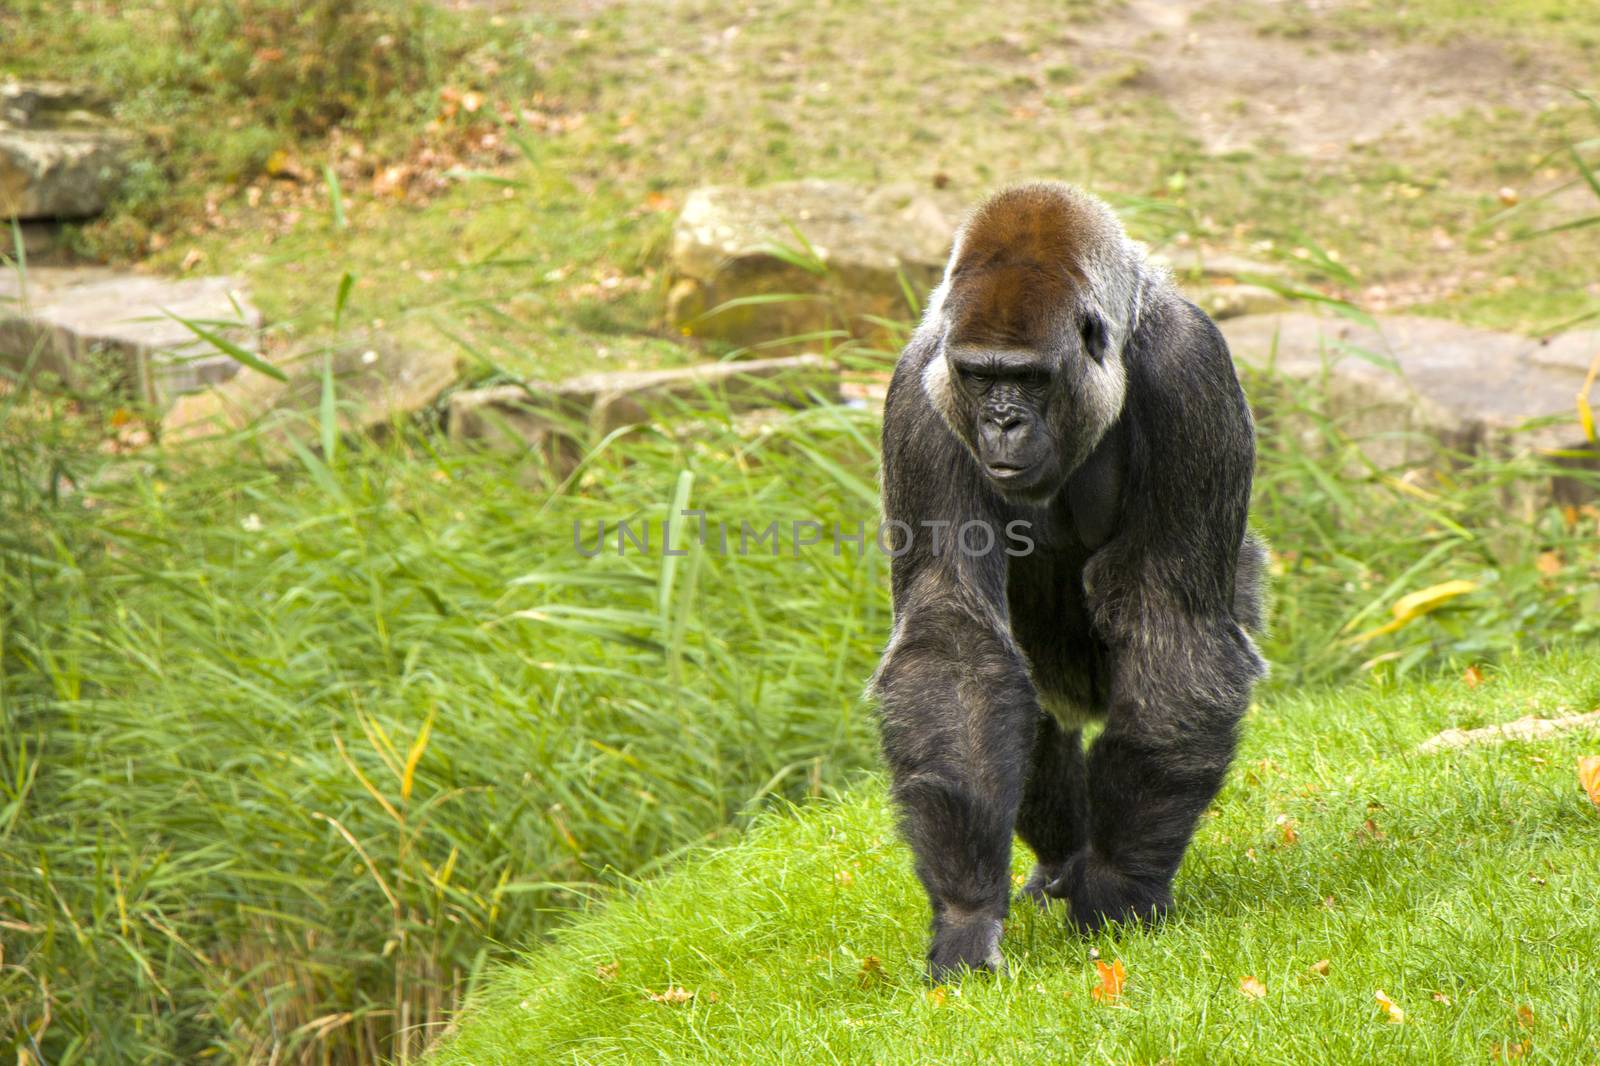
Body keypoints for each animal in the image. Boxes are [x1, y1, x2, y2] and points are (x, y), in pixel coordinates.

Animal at [870, 180, 1267, 979]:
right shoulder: (920, 399)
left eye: (1028, 378)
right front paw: (967, 913)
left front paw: (1119, 885)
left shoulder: (1192, 370)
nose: (1002, 424)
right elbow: (951, 645)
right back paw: (1062, 859)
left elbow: (1172, 624)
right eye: (980, 376)